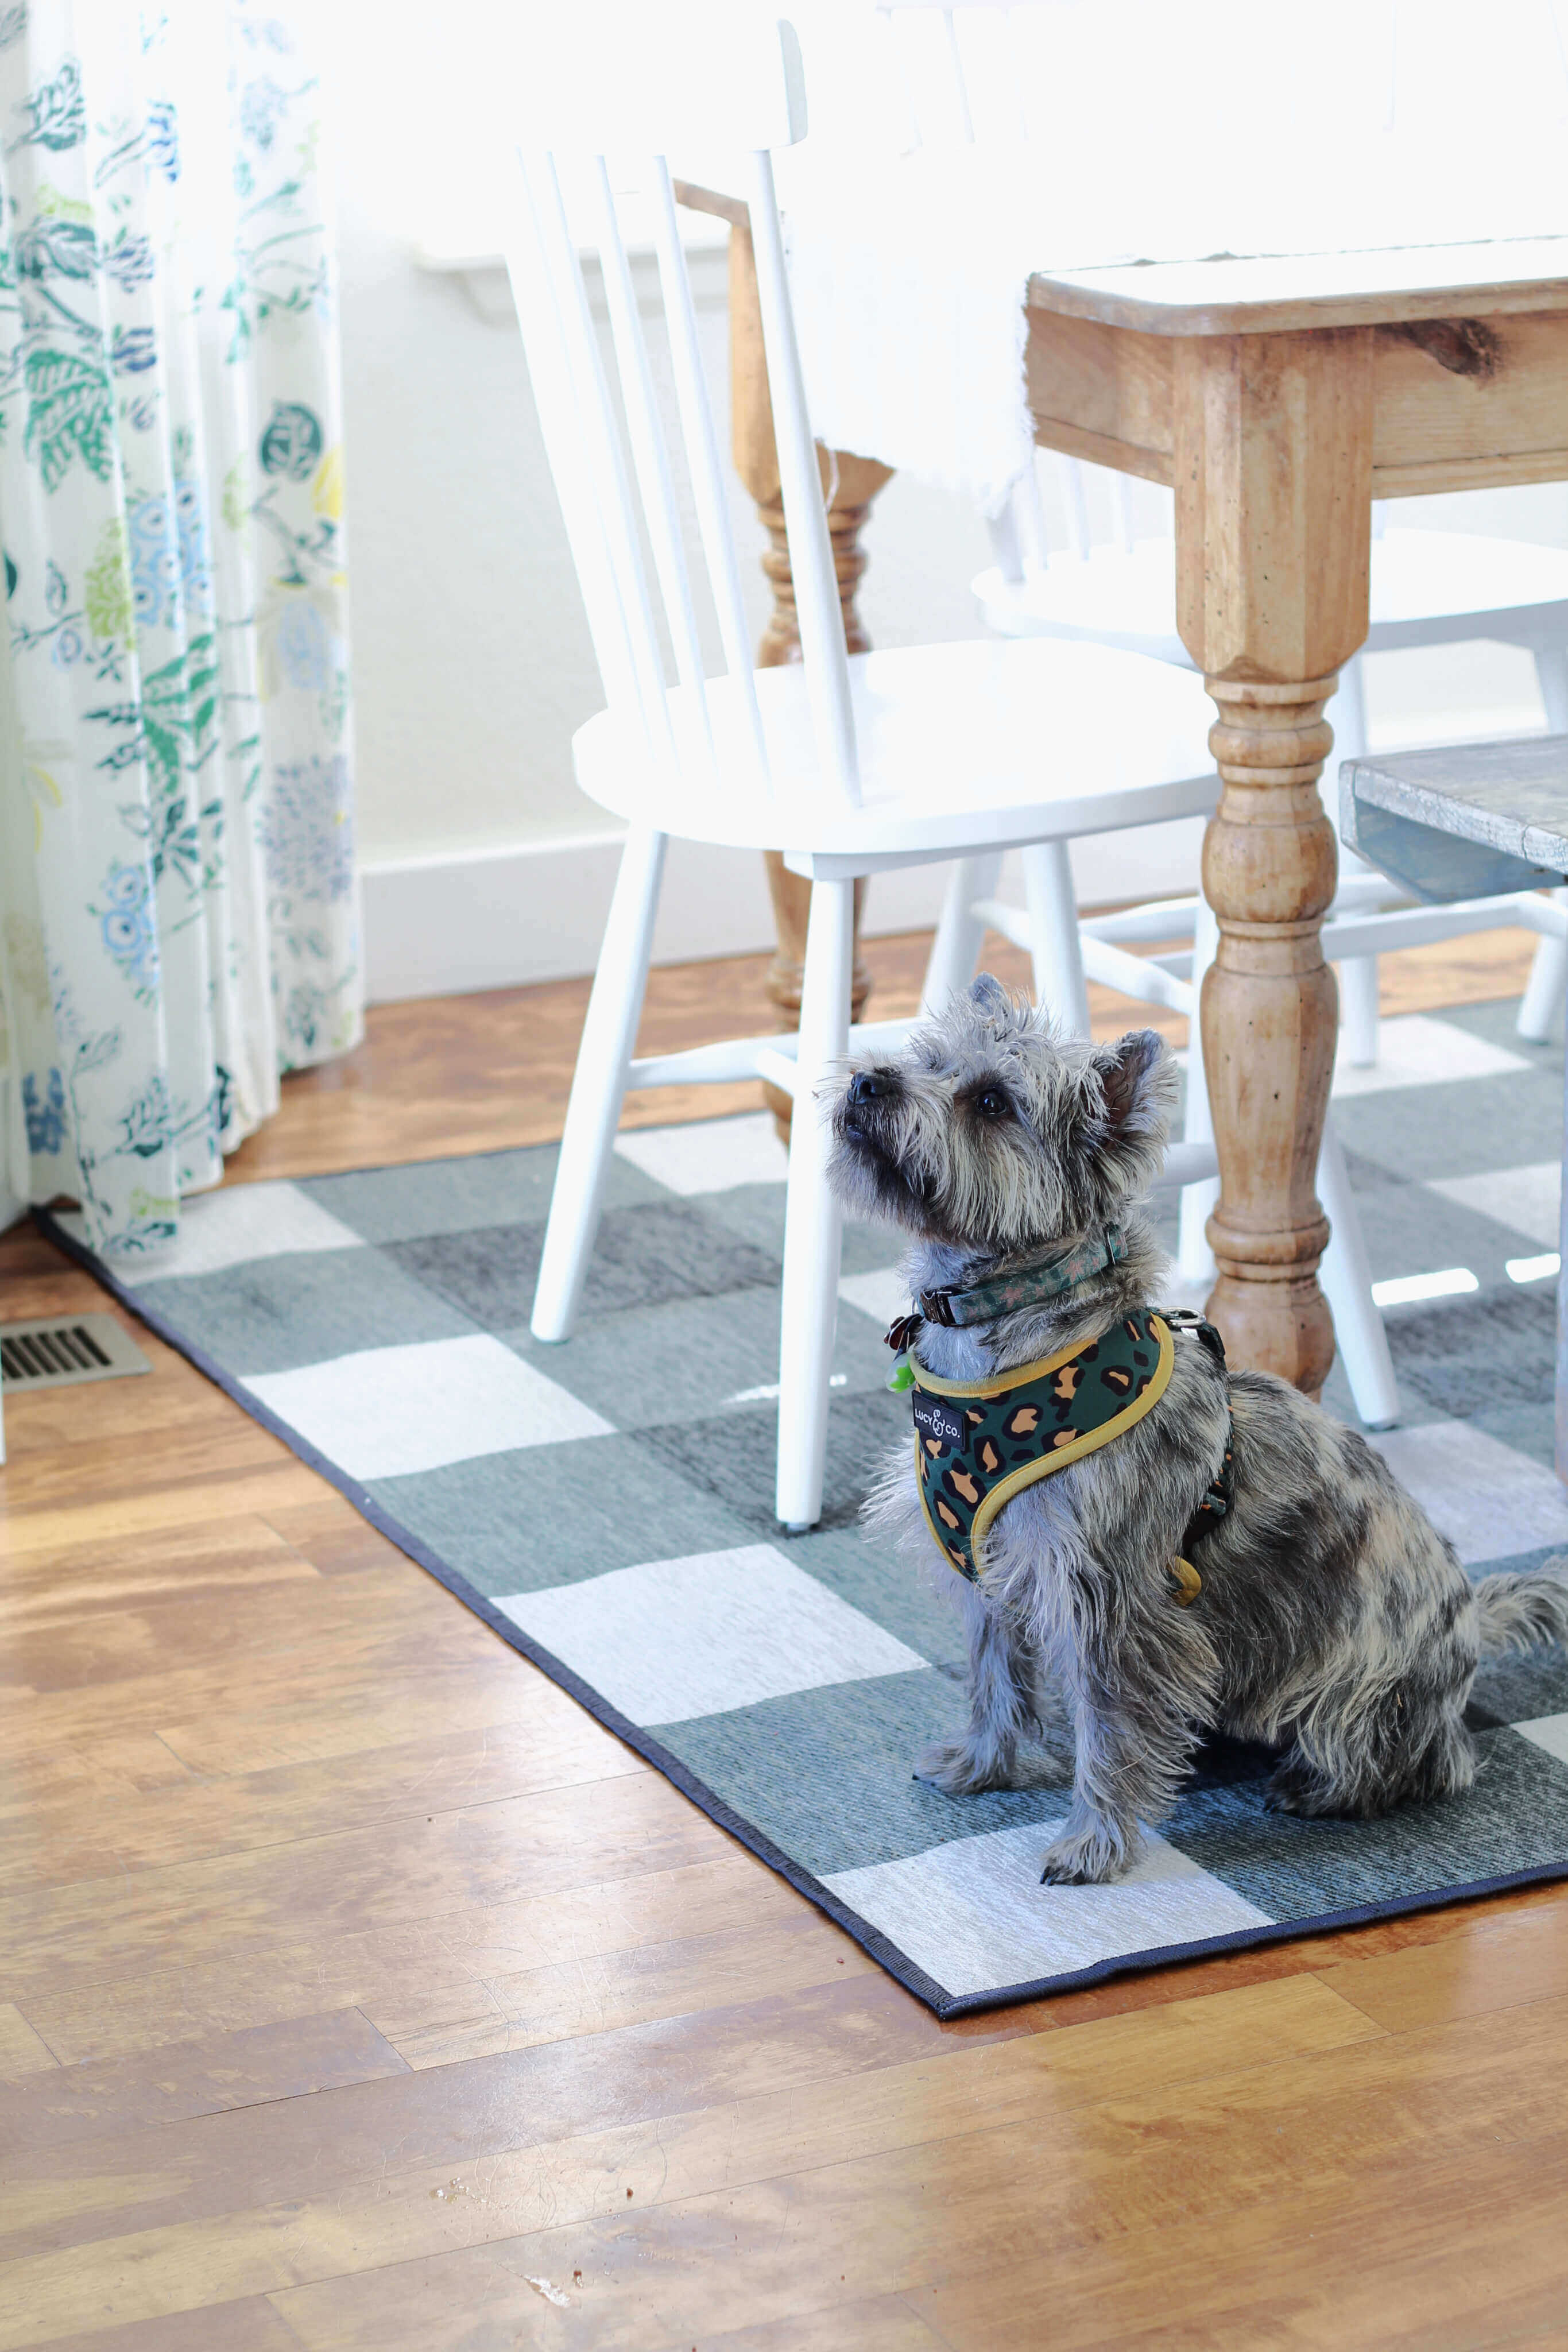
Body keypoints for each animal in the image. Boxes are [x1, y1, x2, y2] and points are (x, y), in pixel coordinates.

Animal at [827, 978, 1568, 1891]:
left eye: (992, 1101)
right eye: (923, 1060)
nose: (870, 1081)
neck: (1000, 1335)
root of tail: (1470, 1620)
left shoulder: (1109, 1599)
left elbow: (1108, 1732)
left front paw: (1093, 1840)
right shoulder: (997, 1576)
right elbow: (994, 1681)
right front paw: (982, 1764)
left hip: (1356, 1691)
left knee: (1422, 1760)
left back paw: (1320, 1786)